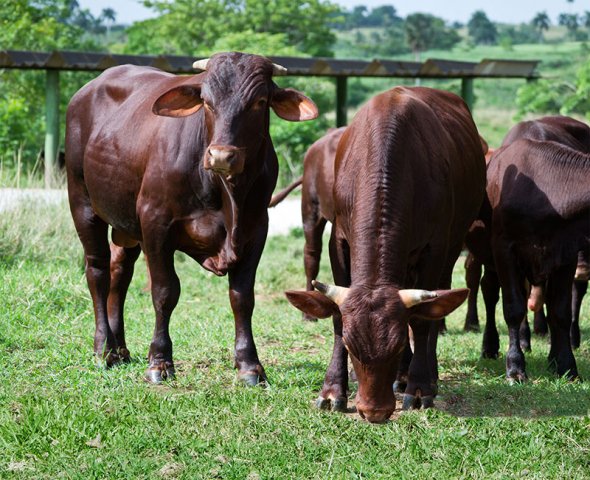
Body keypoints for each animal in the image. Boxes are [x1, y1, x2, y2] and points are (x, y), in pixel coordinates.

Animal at [65, 50, 320, 384]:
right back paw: (103, 349)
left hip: (126, 225)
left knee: (119, 273)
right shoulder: (155, 223)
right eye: (207, 101)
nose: (221, 156)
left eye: (259, 101)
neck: (226, 195)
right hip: (82, 202)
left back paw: (120, 349)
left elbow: (242, 298)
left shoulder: (256, 229)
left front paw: (249, 365)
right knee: (97, 271)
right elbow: (165, 292)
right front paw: (159, 362)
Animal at [286, 87, 486, 424]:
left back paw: (421, 375)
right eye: (351, 345)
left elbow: (421, 321)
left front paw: (419, 387)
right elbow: (337, 318)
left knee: (435, 308)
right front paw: (334, 390)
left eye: (396, 344)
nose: (374, 412)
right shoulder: (339, 240)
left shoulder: (436, 246)